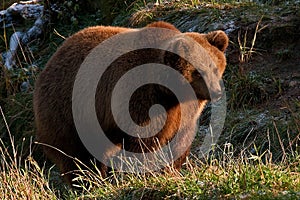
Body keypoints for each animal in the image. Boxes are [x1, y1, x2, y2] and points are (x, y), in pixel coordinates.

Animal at [32, 20, 229, 184]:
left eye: (214, 67)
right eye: (198, 72)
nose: (217, 92)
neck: (169, 92)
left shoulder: (185, 110)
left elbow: (180, 140)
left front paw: (171, 170)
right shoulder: (139, 98)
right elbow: (143, 141)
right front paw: (147, 173)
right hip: (68, 111)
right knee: (75, 154)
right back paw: (87, 182)